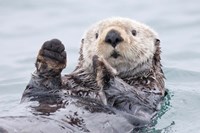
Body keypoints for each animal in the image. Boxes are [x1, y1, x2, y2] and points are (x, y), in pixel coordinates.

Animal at [20, 17, 166, 131]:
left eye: (134, 32)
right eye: (96, 34)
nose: (112, 35)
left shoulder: (149, 94)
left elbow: (133, 98)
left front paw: (103, 67)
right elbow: (39, 88)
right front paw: (52, 53)